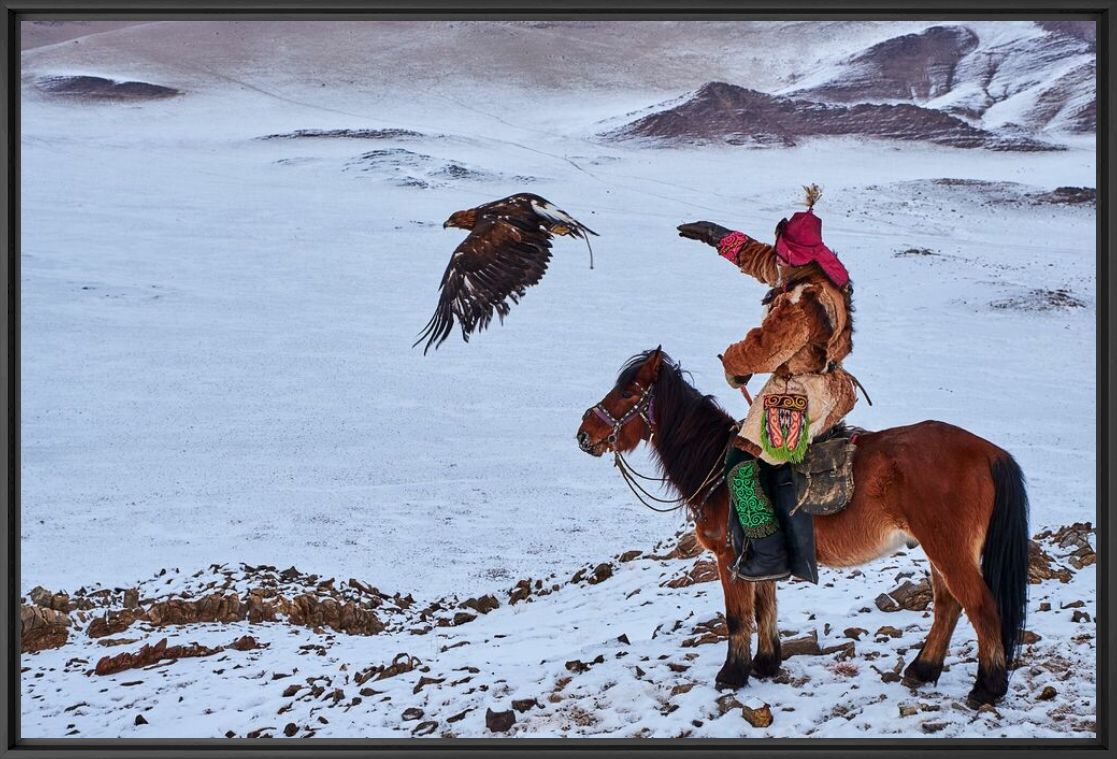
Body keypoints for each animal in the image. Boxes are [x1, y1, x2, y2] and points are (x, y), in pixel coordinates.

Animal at [576, 346, 1027, 710]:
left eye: (628, 392)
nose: (584, 434)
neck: (716, 468)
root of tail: (989, 453)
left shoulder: (728, 558)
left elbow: (737, 618)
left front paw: (732, 675)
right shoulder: (758, 560)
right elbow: (765, 608)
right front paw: (765, 664)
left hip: (948, 548)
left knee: (982, 608)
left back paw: (986, 688)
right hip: (935, 548)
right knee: (949, 605)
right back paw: (924, 669)